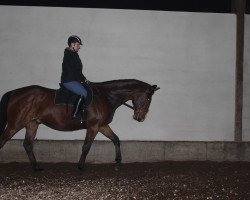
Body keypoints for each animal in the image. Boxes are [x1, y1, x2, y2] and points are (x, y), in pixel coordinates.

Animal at [0, 79, 159, 171]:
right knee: (3, 140)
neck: (105, 97)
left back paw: (37, 167)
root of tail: (14, 93)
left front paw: (118, 163)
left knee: (27, 145)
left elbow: (116, 139)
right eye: (148, 98)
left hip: (32, 124)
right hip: (15, 124)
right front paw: (80, 166)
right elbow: (86, 146)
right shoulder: (93, 127)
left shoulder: (102, 126)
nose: (140, 118)